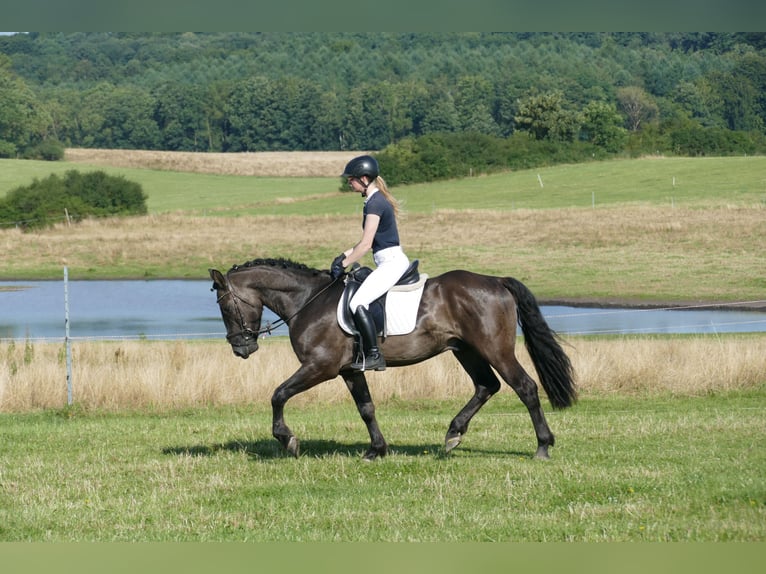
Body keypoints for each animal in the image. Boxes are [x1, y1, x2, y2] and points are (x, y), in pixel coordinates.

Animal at [209, 257, 576, 461]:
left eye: (225, 306)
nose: (241, 349)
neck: (308, 300)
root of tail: (497, 281)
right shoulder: (349, 370)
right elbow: (366, 409)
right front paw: (377, 449)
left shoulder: (320, 366)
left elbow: (278, 395)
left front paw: (288, 439)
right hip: (466, 350)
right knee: (487, 386)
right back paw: (453, 434)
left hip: (495, 349)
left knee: (525, 387)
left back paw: (542, 447)